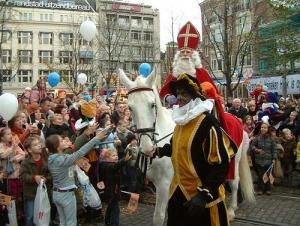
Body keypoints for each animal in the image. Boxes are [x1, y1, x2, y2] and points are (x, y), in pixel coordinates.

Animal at [118, 69, 254, 224]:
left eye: (152, 104)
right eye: (130, 108)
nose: (147, 148)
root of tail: (237, 119)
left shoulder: (164, 184)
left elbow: (158, 217)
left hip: (234, 162)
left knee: (234, 182)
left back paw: (231, 210)